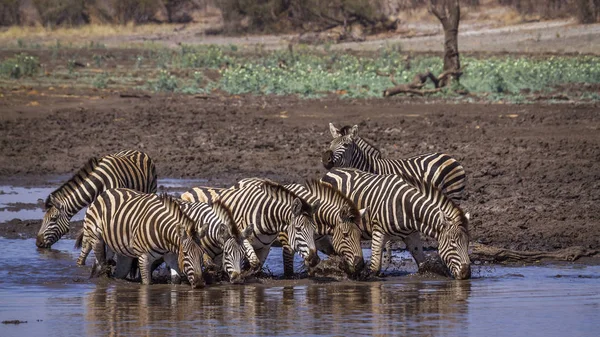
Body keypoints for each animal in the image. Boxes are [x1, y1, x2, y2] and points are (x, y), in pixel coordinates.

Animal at [74, 188, 206, 288]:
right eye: (186, 253)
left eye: (201, 254)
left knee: (115, 270)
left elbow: (176, 280)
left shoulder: (172, 256)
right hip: (95, 237)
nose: (199, 283)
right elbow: (147, 284)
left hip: (120, 250)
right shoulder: (143, 258)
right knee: (101, 264)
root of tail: (105, 192)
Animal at [183, 180, 322, 274]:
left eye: (314, 230)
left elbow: (258, 264)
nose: (315, 260)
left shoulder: (265, 246)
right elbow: (254, 262)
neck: (268, 216)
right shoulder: (241, 236)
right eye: (298, 229)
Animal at [322, 167, 472, 278]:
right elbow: (375, 268)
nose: (466, 274)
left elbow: (422, 262)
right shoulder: (379, 231)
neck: (407, 208)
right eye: (453, 244)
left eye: (468, 243)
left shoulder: (411, 235)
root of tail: (331, 171)